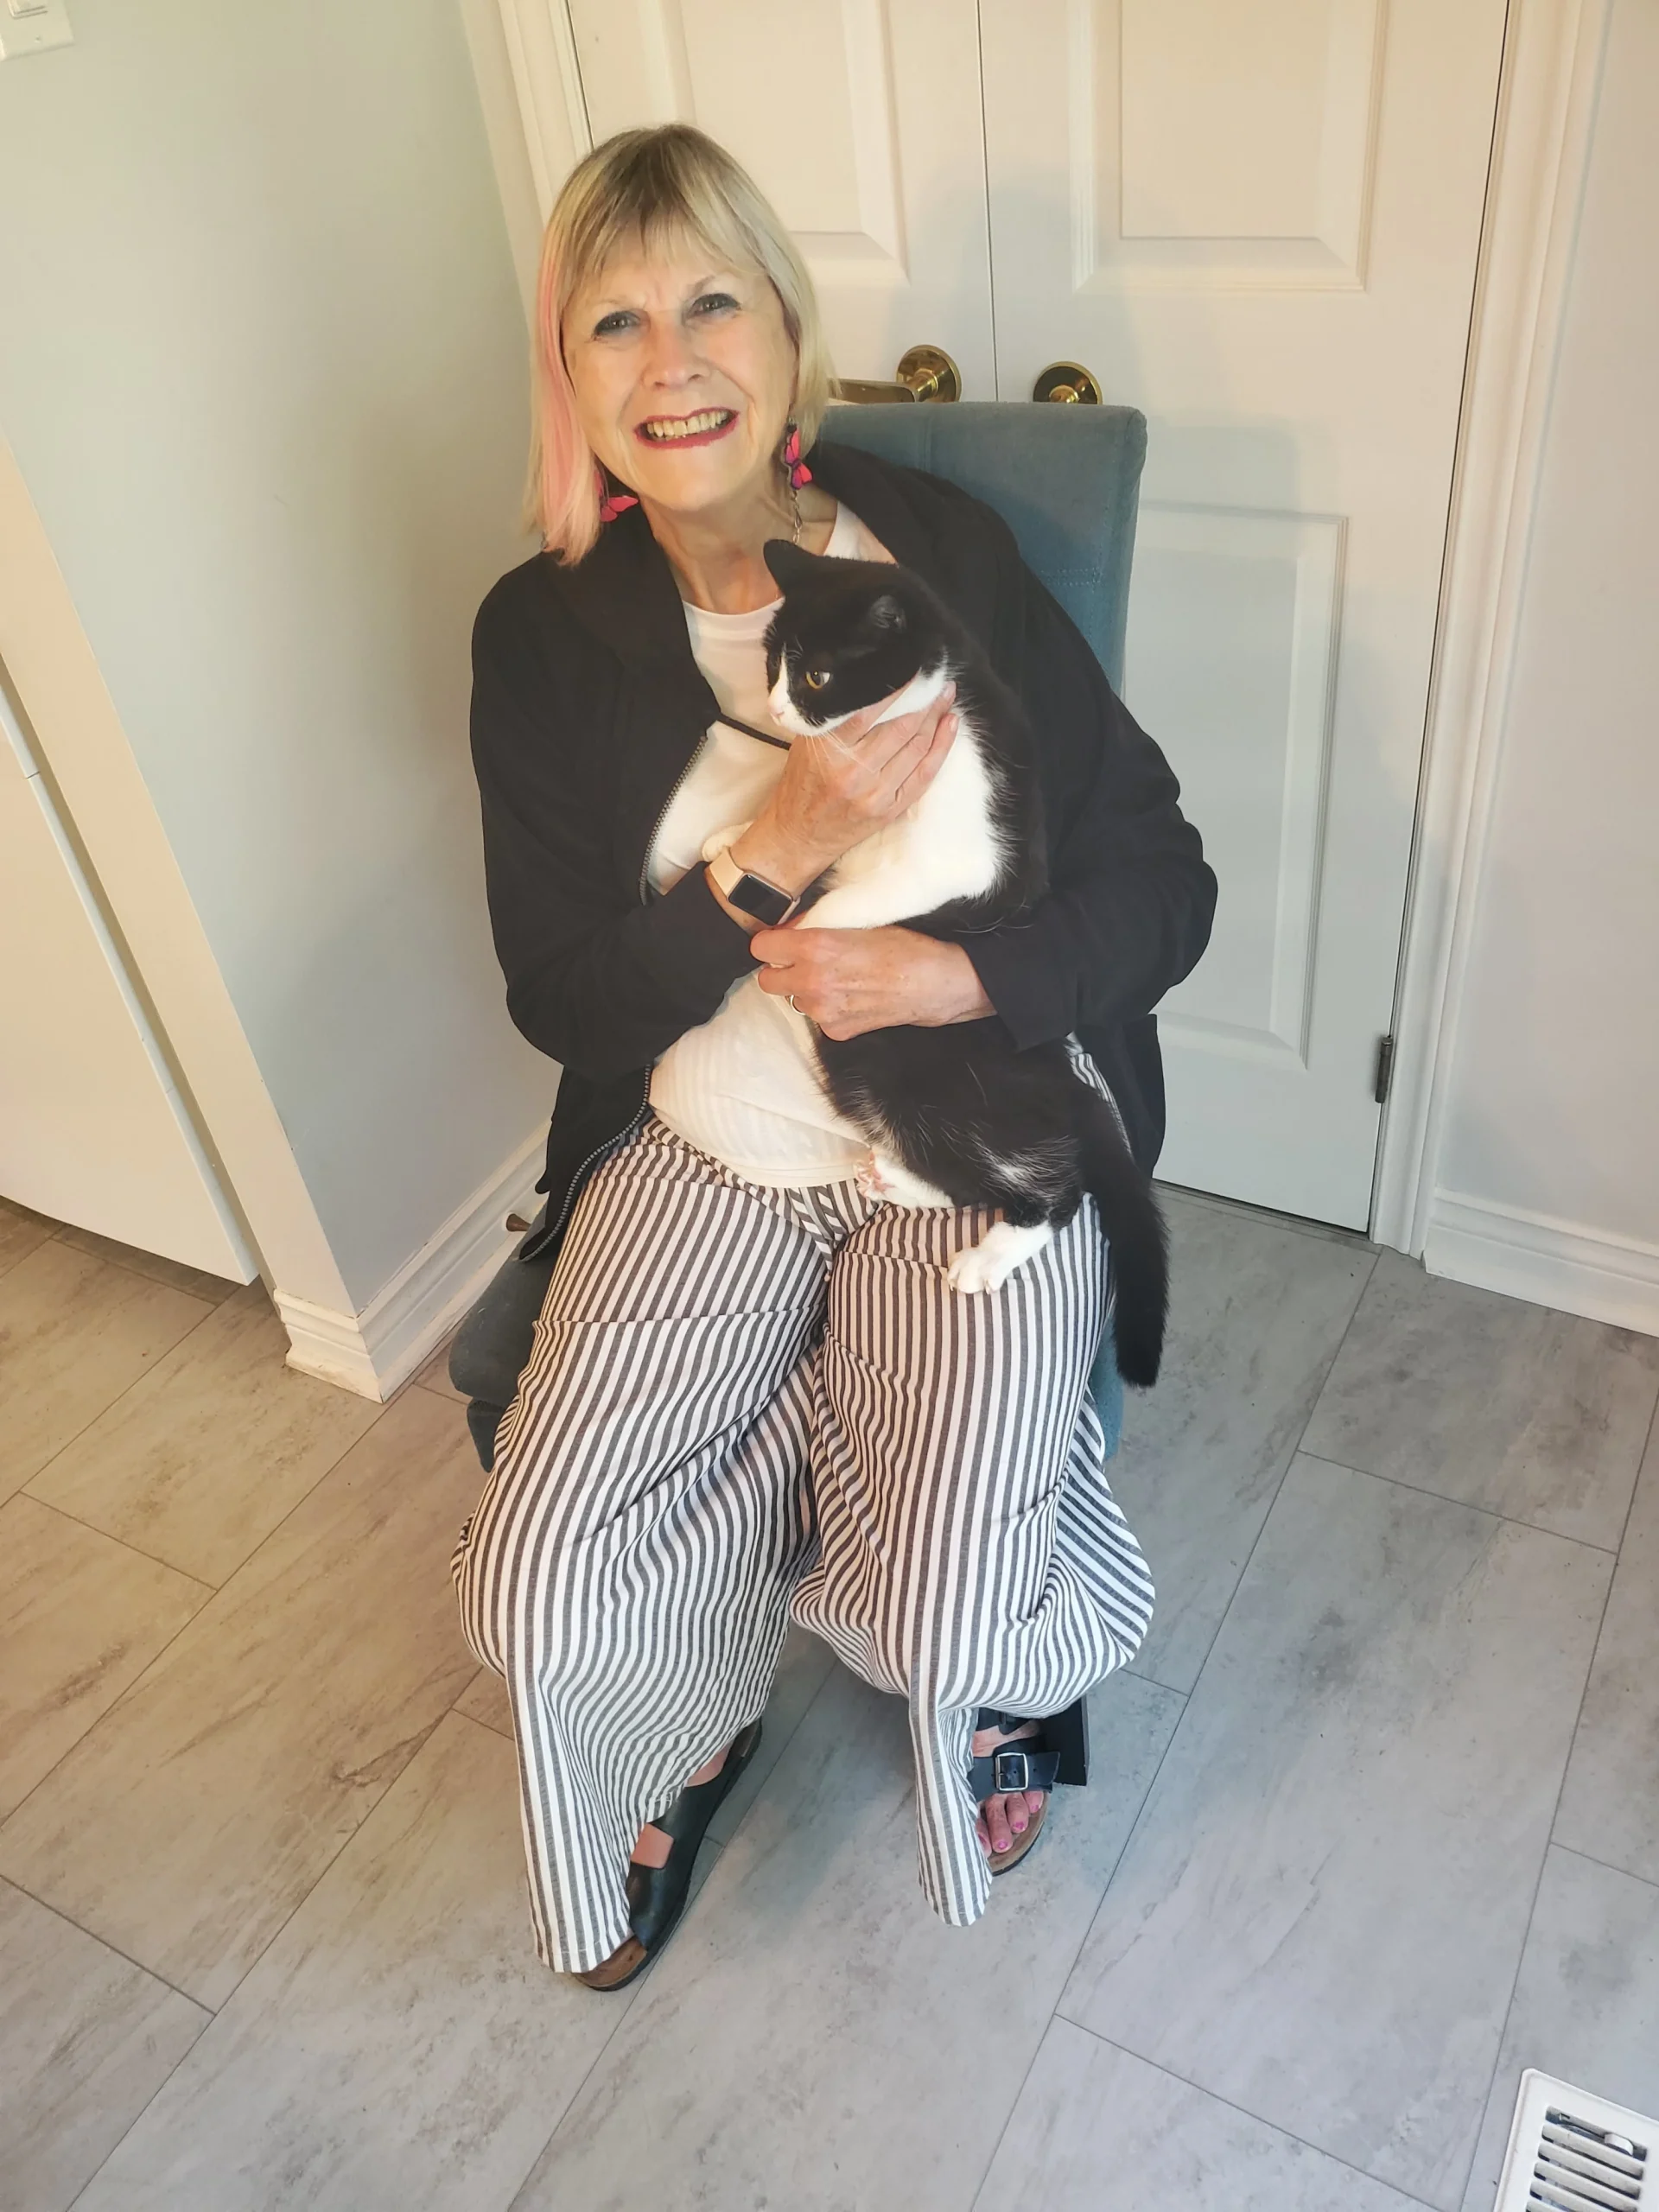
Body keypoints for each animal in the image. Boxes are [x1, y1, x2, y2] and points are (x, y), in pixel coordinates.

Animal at [702, 537, 1168, 1388]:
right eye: (772, 664)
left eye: (818, 677)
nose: (779, 712)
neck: (915, 708)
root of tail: (1060, 1077)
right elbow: (809, 859)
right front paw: (727, 846)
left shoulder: (963, 855)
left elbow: (845, 905)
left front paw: (796, 946)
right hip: (871, 1074)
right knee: (961, 1168)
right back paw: (897, 1178)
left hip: (930, 1078)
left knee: (1053, 1181)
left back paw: (993, 1252)